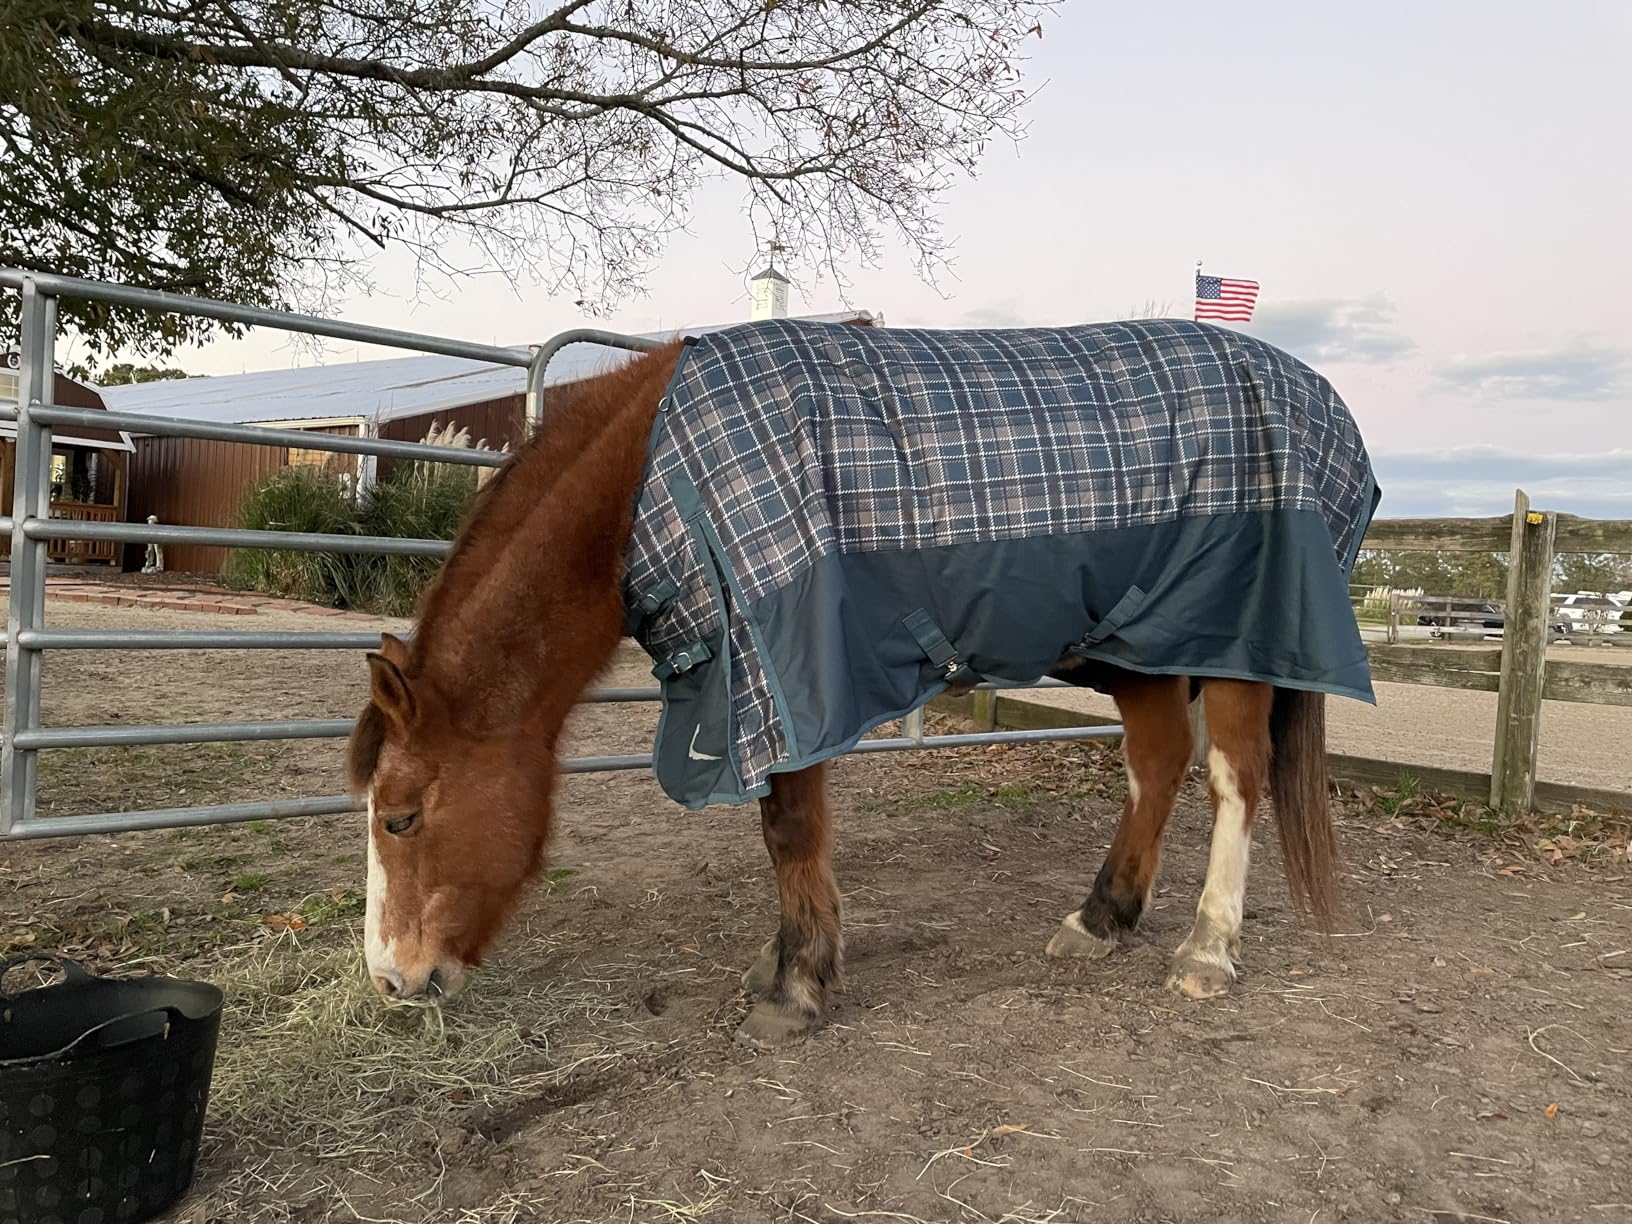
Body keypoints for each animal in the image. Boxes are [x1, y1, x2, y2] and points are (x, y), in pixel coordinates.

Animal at [348, 319, 1373, 1048]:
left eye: (400, 817)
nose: (392, 981)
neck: (652, 481)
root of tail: (1320, 397)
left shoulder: (786, 674)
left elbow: (789, 830)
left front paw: (798, 985)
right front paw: (784, 964)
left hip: (1238, 638)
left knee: (1234, 779)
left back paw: (1207, 951)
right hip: (1138, 645)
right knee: (1156, 765)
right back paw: (1101, 918)